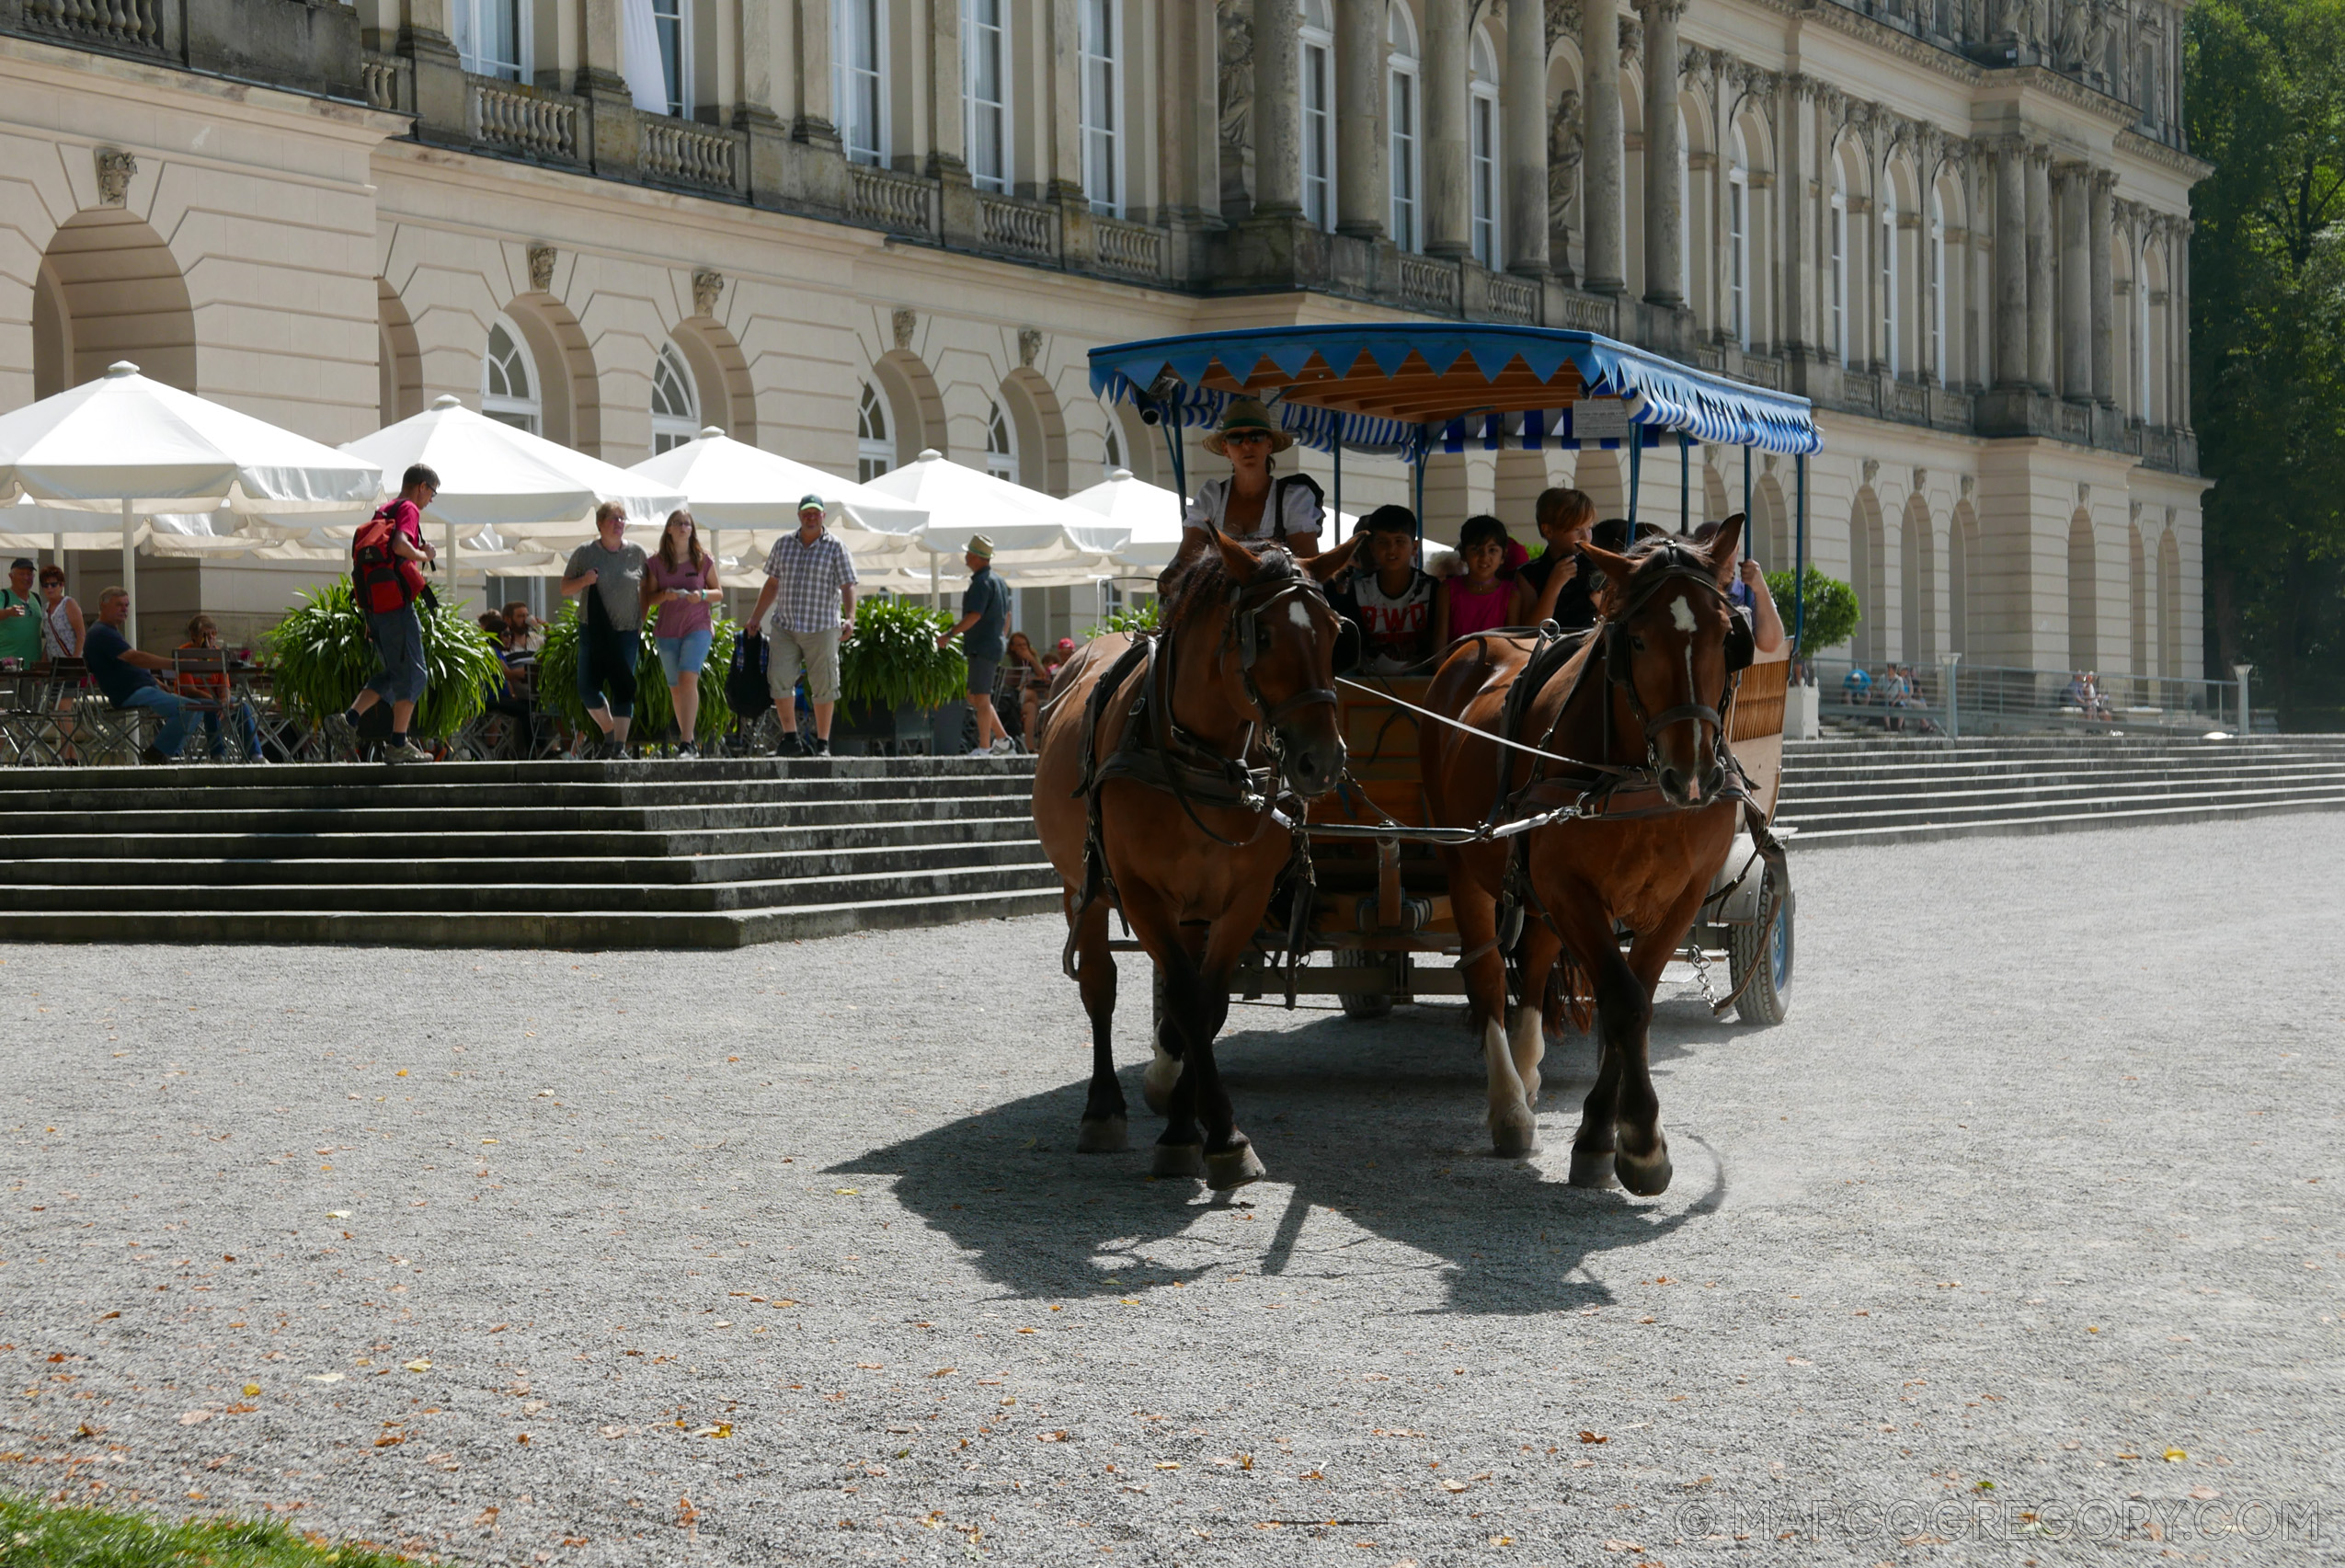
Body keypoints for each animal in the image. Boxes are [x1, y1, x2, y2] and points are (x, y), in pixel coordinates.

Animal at [1041, 524, 1369, 1185]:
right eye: (1261, 635)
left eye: (1333, 632)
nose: (1322, 760)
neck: (1203, 758)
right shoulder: (1141, 892)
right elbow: (1186, 1000)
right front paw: (1216, 1136)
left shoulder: (1242, 897)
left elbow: (1208, 1004)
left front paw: (1199, 1128)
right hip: (1082, 886)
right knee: (1100, 983)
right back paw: (1103, 1109)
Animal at [1416, 513, 1754, 1185]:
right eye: (1638, 641)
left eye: (1727, 636)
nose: (1694, 776)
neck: (1636, 776)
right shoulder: (1571, 886)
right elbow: (1622, 999)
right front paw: (1639, 1141)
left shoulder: (1679, 894)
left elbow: (1635, 995)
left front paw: (1604, 1131)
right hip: (1466, 862)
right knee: (1487, 975)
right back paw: (1509, 1106)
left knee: (1536, 963)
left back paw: (1528, 1071)